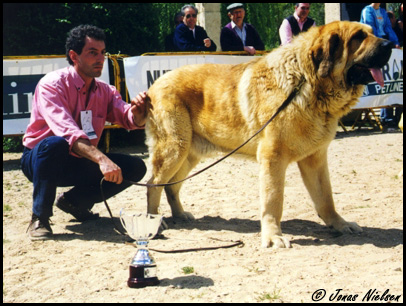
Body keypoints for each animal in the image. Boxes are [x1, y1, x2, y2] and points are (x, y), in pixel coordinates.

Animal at [144, 21, 394, 247]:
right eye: (358, 37)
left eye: (370, 32)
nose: (390, 44)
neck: (305, 82)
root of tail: (153, 85)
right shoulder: (273, 157)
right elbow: (274, 199)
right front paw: (274, 236)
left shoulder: (315, 159)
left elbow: (326, 198)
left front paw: (340, 224)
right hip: (174, 149)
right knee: (153, 183)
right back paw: (154, 221)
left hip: (189, 153)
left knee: (171, 185)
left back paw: (179, 214)